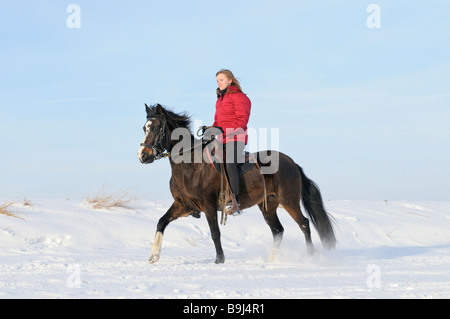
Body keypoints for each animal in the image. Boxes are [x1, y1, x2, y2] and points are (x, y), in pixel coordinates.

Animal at [139, 104, 336, 264]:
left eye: (155, 127)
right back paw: (271, 259)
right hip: (268, 206)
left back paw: (310, 256)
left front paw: (219, 260)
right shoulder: (183, 204)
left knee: (304, 224)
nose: (143, 155)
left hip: (289, 201)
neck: (190, 165)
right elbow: (161, 222)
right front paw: (153, 255)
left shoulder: (208, 205)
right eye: (144, 128)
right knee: (278, 230)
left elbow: (215, 233)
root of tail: (292, 163)